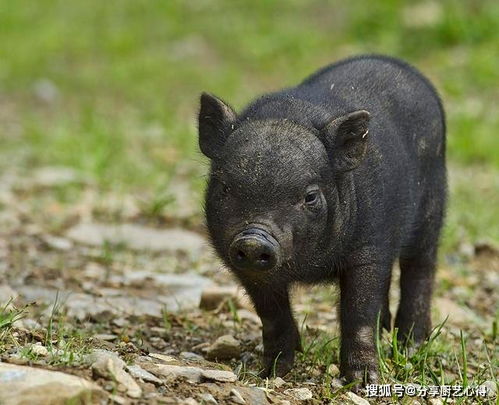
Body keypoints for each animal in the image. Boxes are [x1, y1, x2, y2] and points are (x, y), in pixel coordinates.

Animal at [197, 55, 448, 384]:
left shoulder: (369, 247)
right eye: (225, 187)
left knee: (420, 270)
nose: (253, 239)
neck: (310, 268)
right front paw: (271, 372)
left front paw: (364, 380)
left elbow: (358, 313)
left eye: (310, 196)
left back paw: (411, 346)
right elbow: (272, 316)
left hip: (432, 210)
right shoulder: (246, 268)